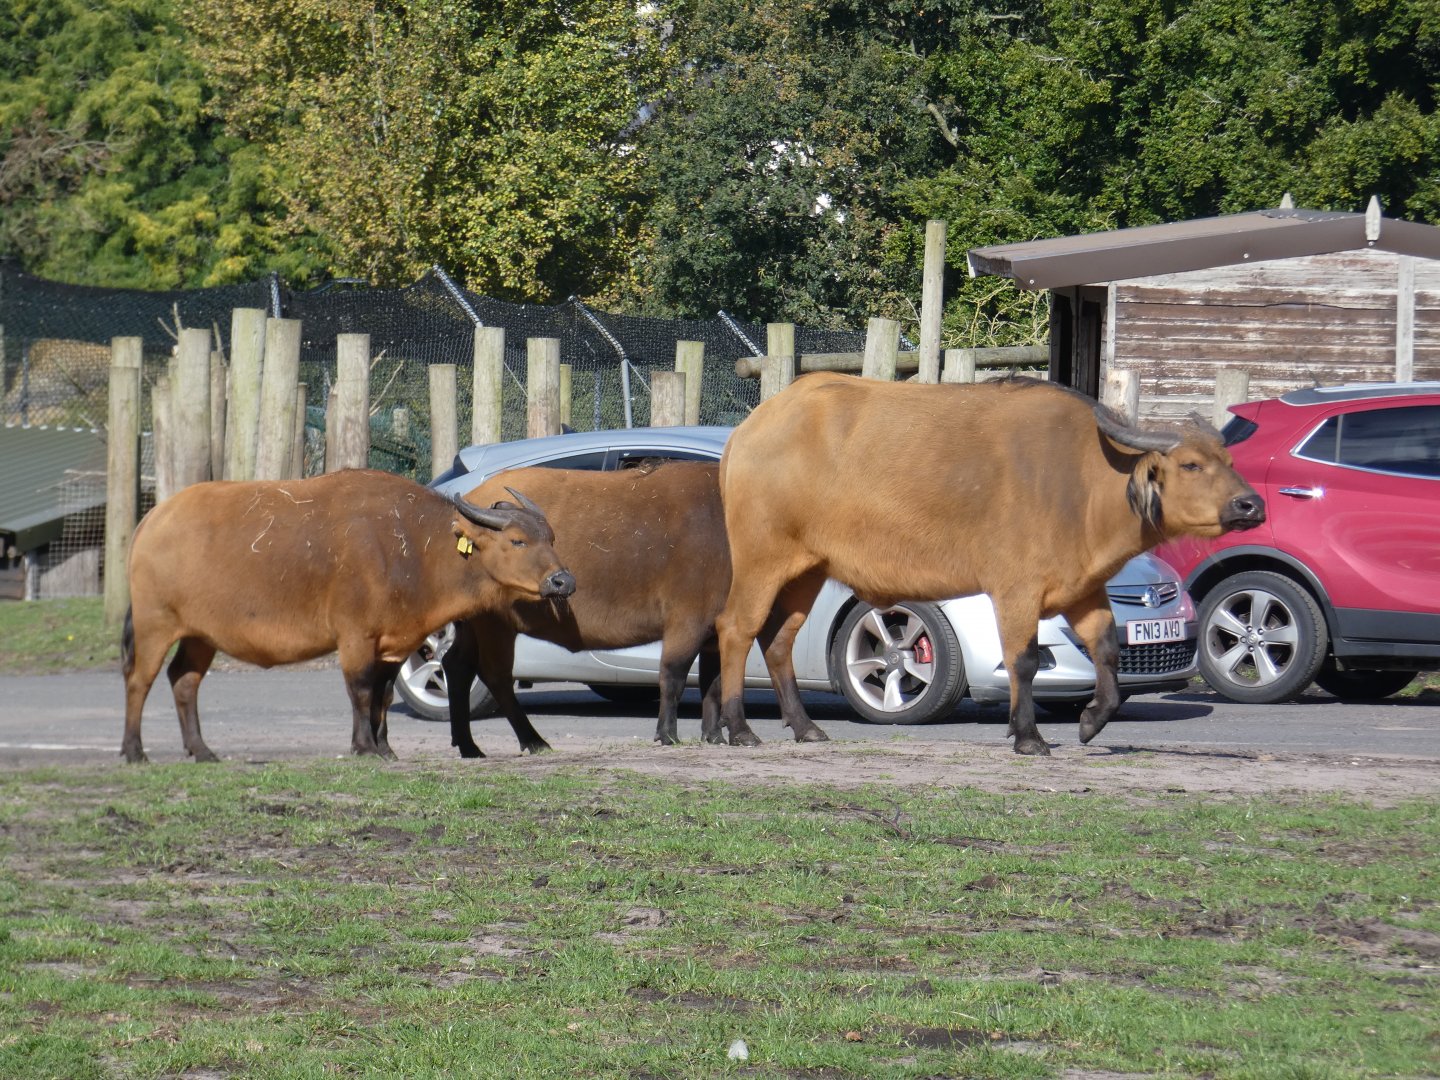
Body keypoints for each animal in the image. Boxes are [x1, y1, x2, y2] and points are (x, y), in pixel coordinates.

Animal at [121, 469, 574, 763]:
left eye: (552, 538)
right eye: (517, 541)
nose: (563, 580)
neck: (413, 549)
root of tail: (151, 521)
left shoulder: (396, 642)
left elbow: (383, 694)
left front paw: (386, 747)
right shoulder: (356, 636)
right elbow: (359, 689)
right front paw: (364, 747)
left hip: (200, 635)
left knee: (184, 681)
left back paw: (201, 750)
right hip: (154, 624)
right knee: (139, 680)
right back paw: (134, 751)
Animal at [715, 373, 1264, 755]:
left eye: (1230, 462)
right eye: (1191, 465)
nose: (1251, 505)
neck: (1080, 481)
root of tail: (749, 429)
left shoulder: (1084, 588)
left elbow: (1107, 649)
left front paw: (1091, 721)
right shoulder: (1015, 590)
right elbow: (1024, 659)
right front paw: (1027, 735)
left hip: (807, 570)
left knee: (777, 640)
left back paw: (805, 726)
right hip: (762, 560)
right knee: (736, 628)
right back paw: (738, 728)